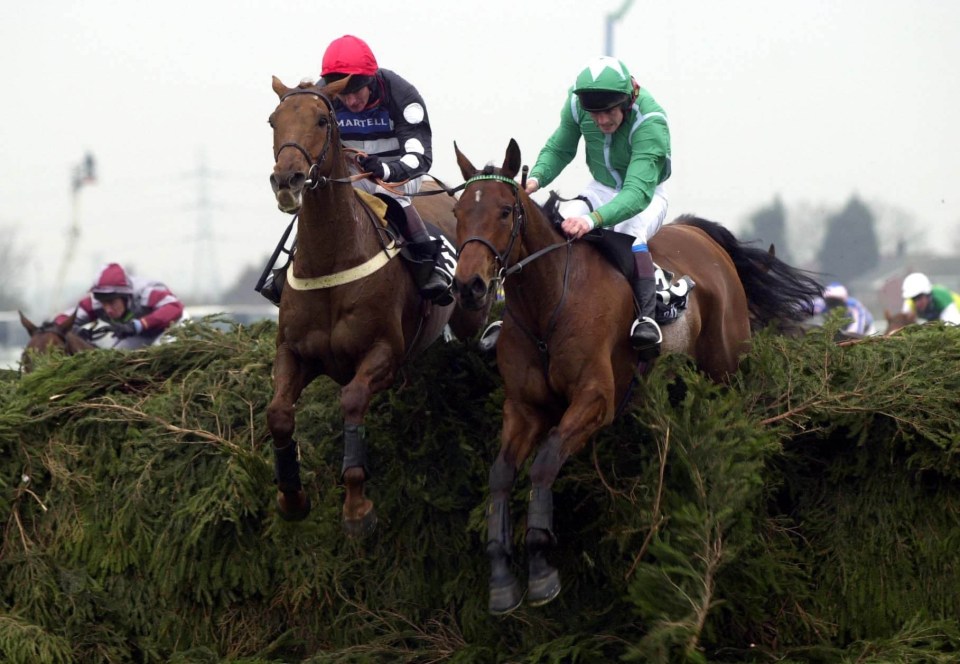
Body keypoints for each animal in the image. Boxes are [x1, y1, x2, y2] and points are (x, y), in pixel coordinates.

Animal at [266, 75, 488, 536]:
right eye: (273, 121)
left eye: (321, 119)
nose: (287, 180)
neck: (332, 259)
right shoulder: (294, 352)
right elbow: (277, 413)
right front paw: (291, 497)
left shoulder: (383, 352)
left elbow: (352, 400)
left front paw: (356, 508)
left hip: (470, 315)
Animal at [454, 139, 820, 612]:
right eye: (459, 210)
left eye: (504, 211)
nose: (469, 286)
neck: (548, 303)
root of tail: (701, 235)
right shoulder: (524, 407)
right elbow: (500, 475)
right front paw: (500, 577)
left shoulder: (595, 400)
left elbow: (545, 462)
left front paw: (540, 568)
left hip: (726, 368)